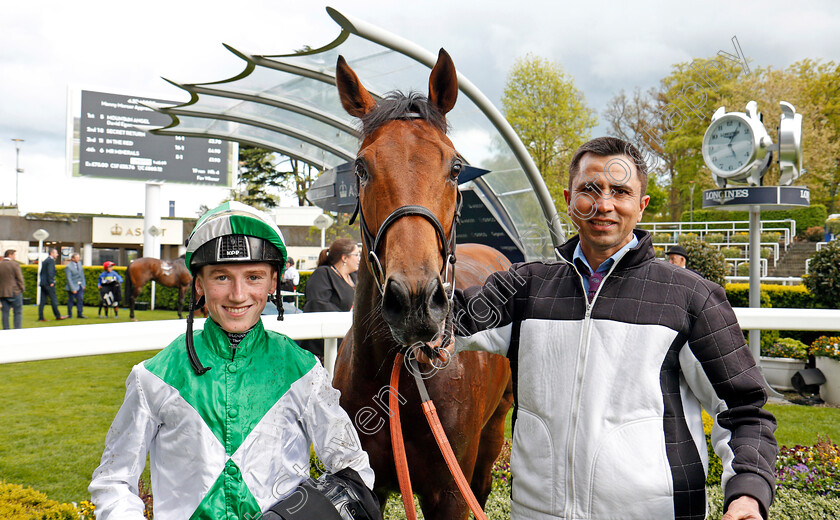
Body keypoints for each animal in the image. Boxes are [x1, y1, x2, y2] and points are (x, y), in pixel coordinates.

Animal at [334, 49, 516, 520]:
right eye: (361, 167)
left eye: (455, 167)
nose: (414, 300)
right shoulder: (368, 483)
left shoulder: (449, 491)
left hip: (496, 427)